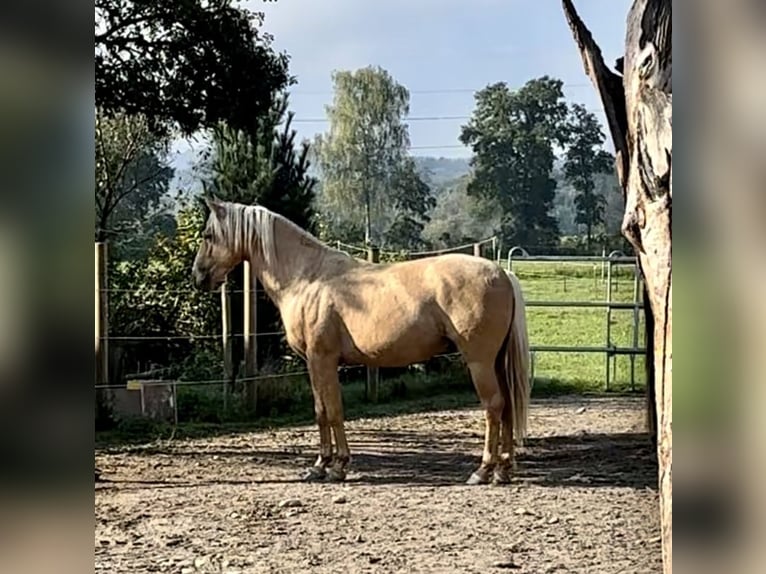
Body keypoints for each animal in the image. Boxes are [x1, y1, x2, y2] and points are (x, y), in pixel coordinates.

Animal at [192, 198, 532, 486]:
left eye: (208, 235)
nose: (199, 277)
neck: (307, 277)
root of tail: (501, 273)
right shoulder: (319, 364)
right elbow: (322, 409)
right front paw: (322, 466)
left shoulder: (320, 360)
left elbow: (330, 411)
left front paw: (334, 467)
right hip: (496, 362)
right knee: (507, 406)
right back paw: (503, 470)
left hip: (479, 362)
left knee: (493, 406)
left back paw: (483, 471)